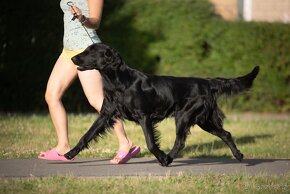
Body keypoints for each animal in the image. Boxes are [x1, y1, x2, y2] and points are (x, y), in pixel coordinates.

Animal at [65, 43, 260, 166]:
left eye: (91, 51)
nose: (73, 58)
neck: (120, 82)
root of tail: (206, 81)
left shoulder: (144, 116)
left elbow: (151, 143)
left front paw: (161, 157)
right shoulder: (106, 113)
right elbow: (87, 135)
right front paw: (69, 154)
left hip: (184, 116)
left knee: (180, 141)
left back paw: (168, 160)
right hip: (204, 120)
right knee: (226, 133)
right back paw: (239, 155)